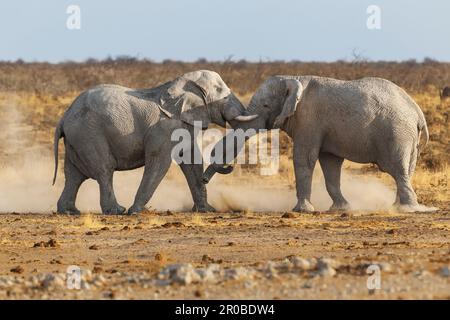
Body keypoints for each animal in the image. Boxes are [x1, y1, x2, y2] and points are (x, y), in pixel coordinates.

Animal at [51, 70, 256, 215]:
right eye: (221, 92)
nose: (230, 166)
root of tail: (64, 117)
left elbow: (191, 162)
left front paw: (207, 210)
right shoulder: (164, 128)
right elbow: (160, 162)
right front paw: (135, 212)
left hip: (77, 139)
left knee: (74, 175)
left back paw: (69, 211)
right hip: (89, 134)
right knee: (104, 170)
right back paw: (117, 211)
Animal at [203, 75, 428, 212]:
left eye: (266, 105)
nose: (205, 180)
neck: (293, 79)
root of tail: (417, 112)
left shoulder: (309, 119)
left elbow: (304, 158)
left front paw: (302, 210)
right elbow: (330, 164)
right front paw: (341, 209)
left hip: (397, 133)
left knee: (397, 168)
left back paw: (408, 209)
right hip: (408, 136)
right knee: (406, 170)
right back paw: (398, 206)